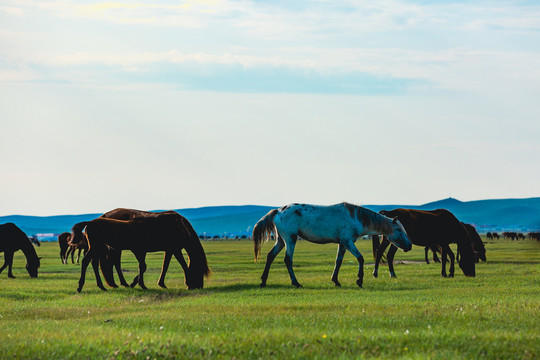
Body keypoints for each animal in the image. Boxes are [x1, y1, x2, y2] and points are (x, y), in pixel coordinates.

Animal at [77, 211, 210, 292]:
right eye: (199, 270)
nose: (199, 286)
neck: (179, 226)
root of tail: (91, 222)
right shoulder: (174, 249)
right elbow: (183, 265)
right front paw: (188, 283)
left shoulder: (167, 250)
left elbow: (163, 266)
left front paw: (153, 283)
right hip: (99, 247)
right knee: (92, 262)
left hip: (97, 247)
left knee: (94, 263)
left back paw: (104, 285)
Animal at [251, 204, 412, 288]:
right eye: (399, 230)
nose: (410, 246)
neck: (355, 217)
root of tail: (278, 211)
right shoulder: (348, 242)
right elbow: (360, 258)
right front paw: (359, 280)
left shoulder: (342, 244)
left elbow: (338, 261)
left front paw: (335, 280)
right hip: (290, 240)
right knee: (287, 260)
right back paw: (295, 282)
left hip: (281, 241)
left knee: (270, 256)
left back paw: (263, 281)